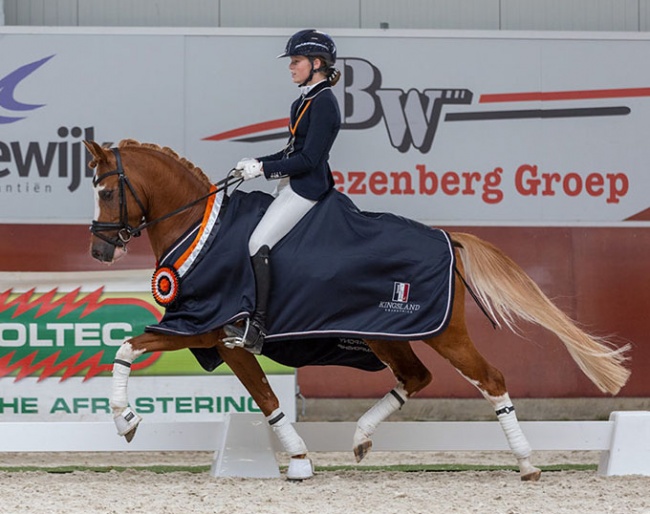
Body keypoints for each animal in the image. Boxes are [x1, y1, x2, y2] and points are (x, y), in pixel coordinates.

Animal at [85, 139, 628, 480]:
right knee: (416, 377)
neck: (202, 229)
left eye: (106, 191)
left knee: (490, 379)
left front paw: (125, 421)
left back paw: (528, 464)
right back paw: (362, 438)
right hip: (382, 334)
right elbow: (138, 351)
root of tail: (446, 237)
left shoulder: (213, 329)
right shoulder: (209, 335)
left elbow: (254, 394)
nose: (99, 252)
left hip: (440, 332)